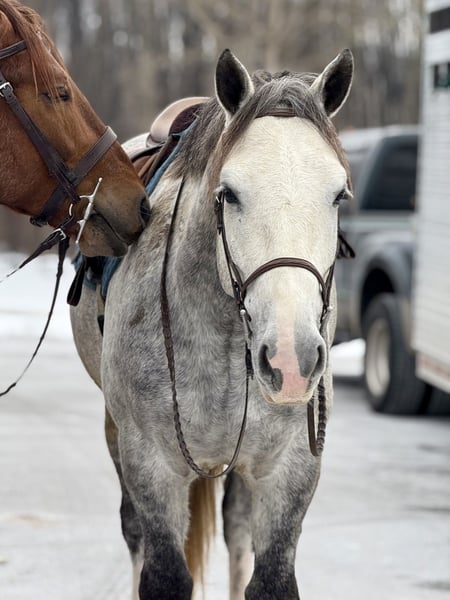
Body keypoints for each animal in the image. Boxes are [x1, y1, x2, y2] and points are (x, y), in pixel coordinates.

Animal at [71, 48, 353, 599]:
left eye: (339, 196)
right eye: (231, 194)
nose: (291, 360)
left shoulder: (290, 468)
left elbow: (269, 579)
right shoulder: (151, 465)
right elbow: (162, 573)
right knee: (132, 531)